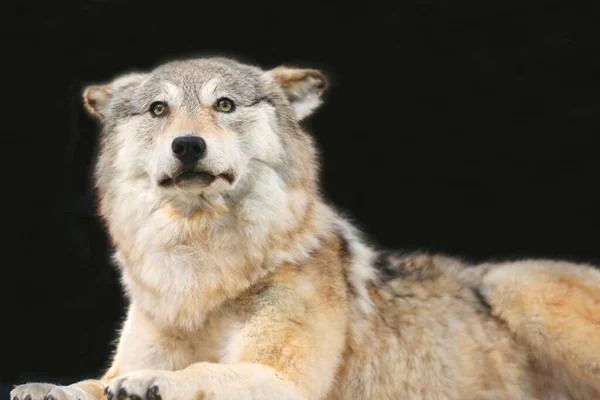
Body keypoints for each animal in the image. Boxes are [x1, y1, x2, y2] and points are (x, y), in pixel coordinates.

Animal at [11, 57, 600, 400]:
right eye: (159, 109)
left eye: (224, 104)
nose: (188, 145)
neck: (202, 266)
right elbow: (94, 382)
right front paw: (52, 388)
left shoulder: (284, 380)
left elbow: (201, 373)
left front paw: (153, 383)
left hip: (519, 290)